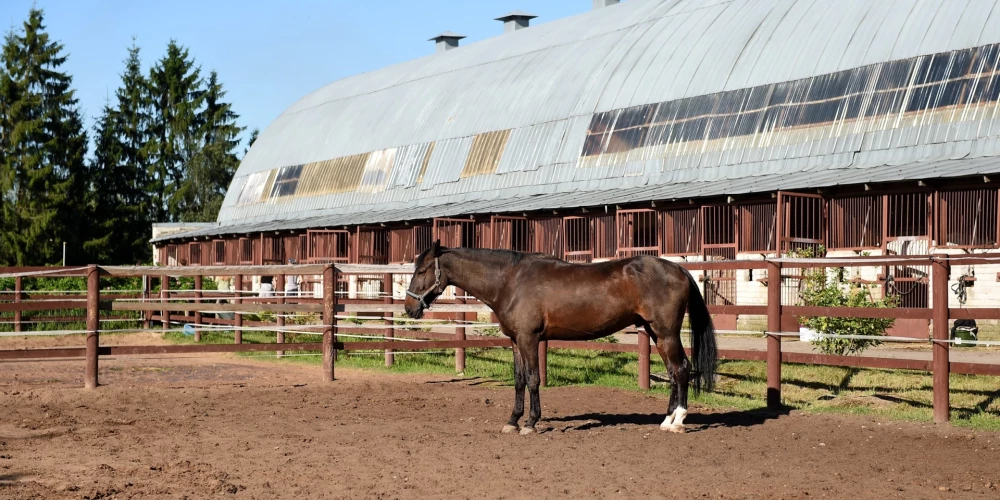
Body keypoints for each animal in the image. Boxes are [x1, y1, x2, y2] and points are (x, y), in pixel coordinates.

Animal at [406, 241, 720, 434]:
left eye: (422, 271)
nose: (409, 308)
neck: (509, 280)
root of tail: (679, 269)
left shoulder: (529, 339)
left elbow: (533, 379)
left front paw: (531, 423)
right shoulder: (515, 341)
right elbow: (518, 380)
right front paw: (512, 421)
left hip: (666, 333)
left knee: (681, 370)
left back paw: (678, 421)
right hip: (656, 334)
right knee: (674, 372)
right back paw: (666, 420)